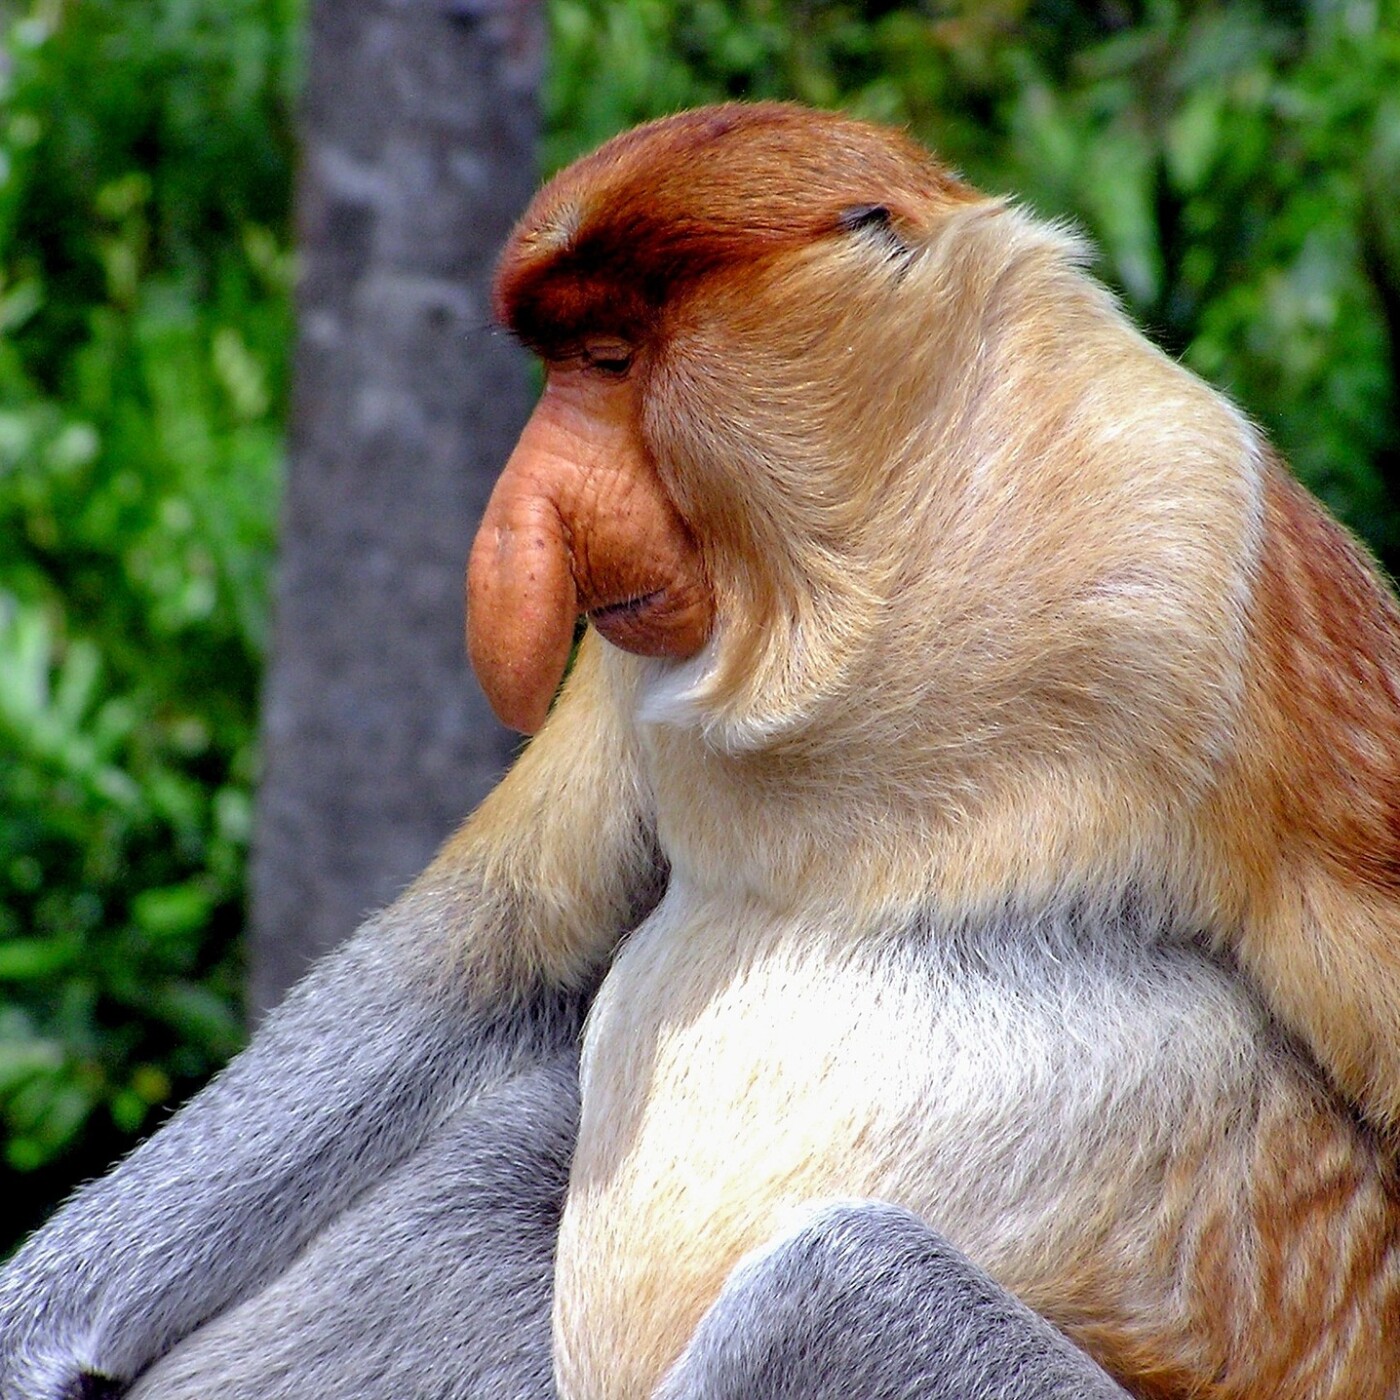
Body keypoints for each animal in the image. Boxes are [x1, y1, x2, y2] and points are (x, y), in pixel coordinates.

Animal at [4, 100, 1400, 1399]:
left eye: (613, 358)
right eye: (567, 363)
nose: (530, 514)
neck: (886, 573)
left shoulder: (1211, 541)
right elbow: (484, 953)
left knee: (838, 1287)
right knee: (505, 1152)